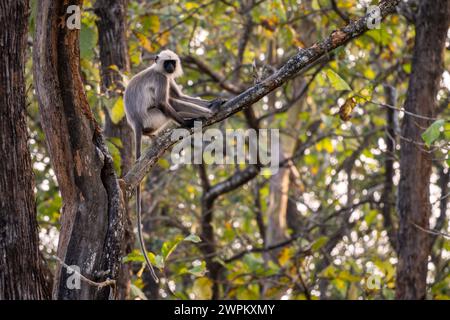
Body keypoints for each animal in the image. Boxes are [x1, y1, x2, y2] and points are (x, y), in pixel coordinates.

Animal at [124, 49, 224, 282]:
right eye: (167, 63)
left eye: (173, 63)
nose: (170, 68)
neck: (159, 70)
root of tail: (136, 123)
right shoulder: (162, 79)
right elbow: (166, 102)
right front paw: (189, 120)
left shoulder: (167, 78)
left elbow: (179, 97)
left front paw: (212, 101)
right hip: (153, 117)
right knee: (169, 105)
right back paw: (205, 114)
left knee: (175, 101)